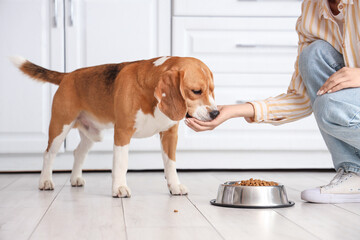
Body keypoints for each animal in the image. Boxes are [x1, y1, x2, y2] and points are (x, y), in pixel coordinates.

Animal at [11, 55, 218, 197]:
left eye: (212, 90)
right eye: (196, 91)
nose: (215, 113)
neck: (150, 93)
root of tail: (68, 75)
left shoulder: (169, 134)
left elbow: (171, 164)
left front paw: (174, 186)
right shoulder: (122, 132)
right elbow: (121, 163)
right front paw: (119, 188)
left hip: (92, 134)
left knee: (78, 152)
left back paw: (75, 178)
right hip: (59, 127)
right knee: (49, 154)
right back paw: (45, 181)